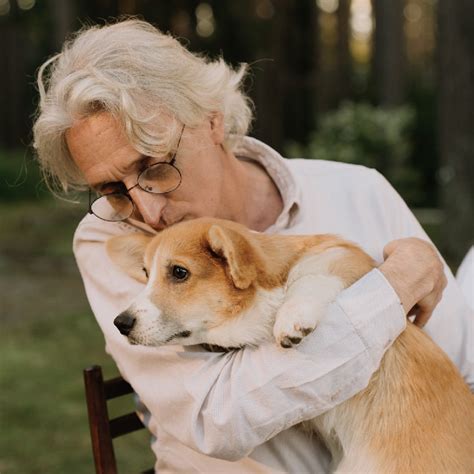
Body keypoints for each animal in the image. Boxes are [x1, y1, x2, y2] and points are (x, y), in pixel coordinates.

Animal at [106, 217, 474, 472]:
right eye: (146, 274)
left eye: (179, 273)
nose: (120, 323)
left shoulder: (343, 260)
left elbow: (310, 276)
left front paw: (291, 319)